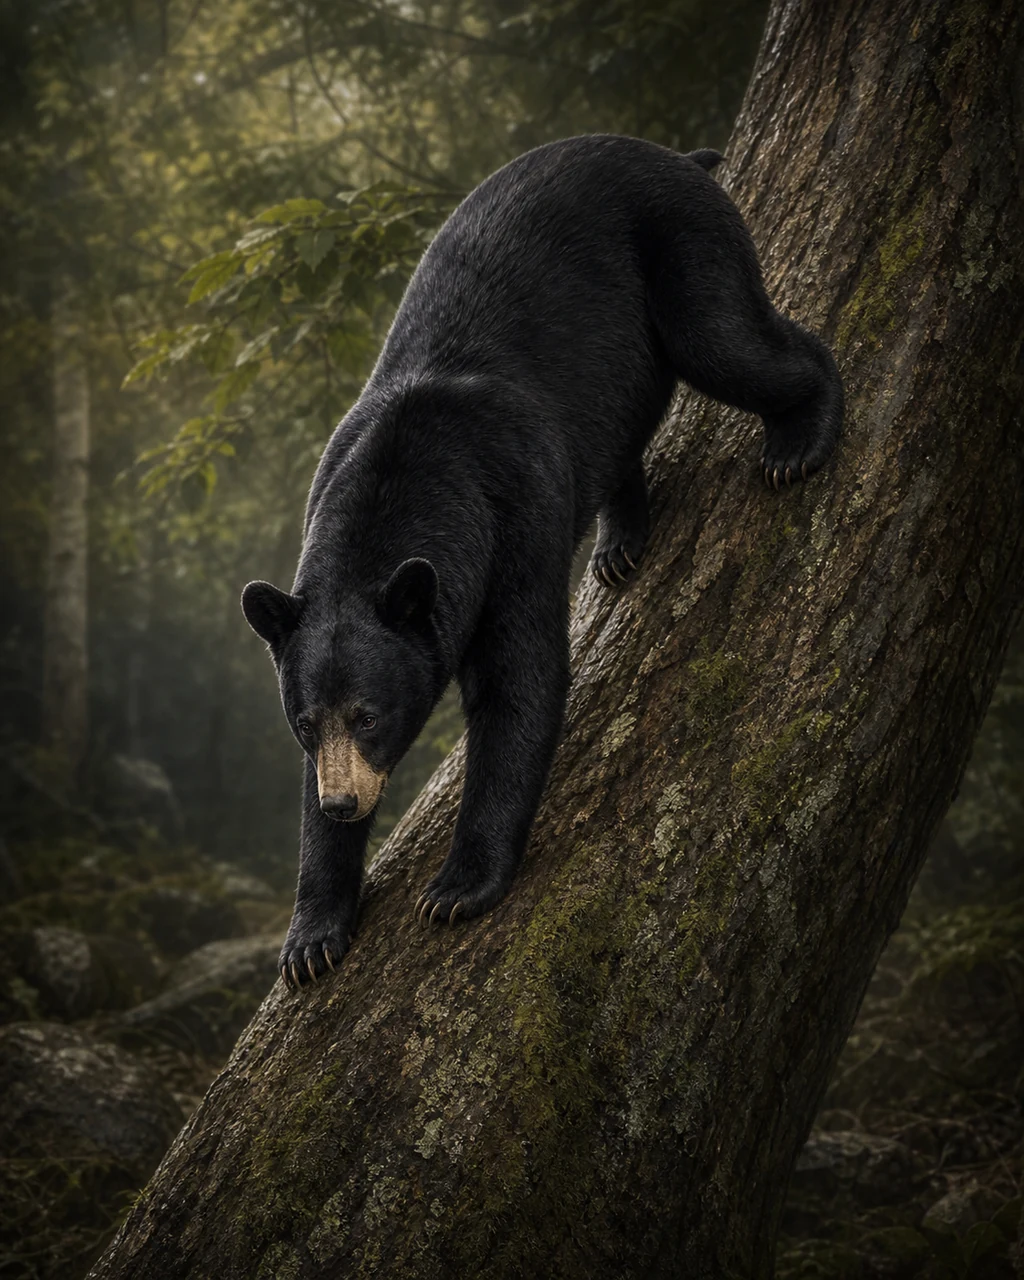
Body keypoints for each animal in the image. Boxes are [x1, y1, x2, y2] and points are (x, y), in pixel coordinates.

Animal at [241, 134, 843, 990]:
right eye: (303, 721)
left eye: (369, 715)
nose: (344, 805)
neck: (409, 474)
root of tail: (670, 153)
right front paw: (312, 938)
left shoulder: (514, 518)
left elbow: (520, 683)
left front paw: (458, 888)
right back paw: (620, 543)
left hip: (686, 244)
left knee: (728, 341)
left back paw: (799, 439)